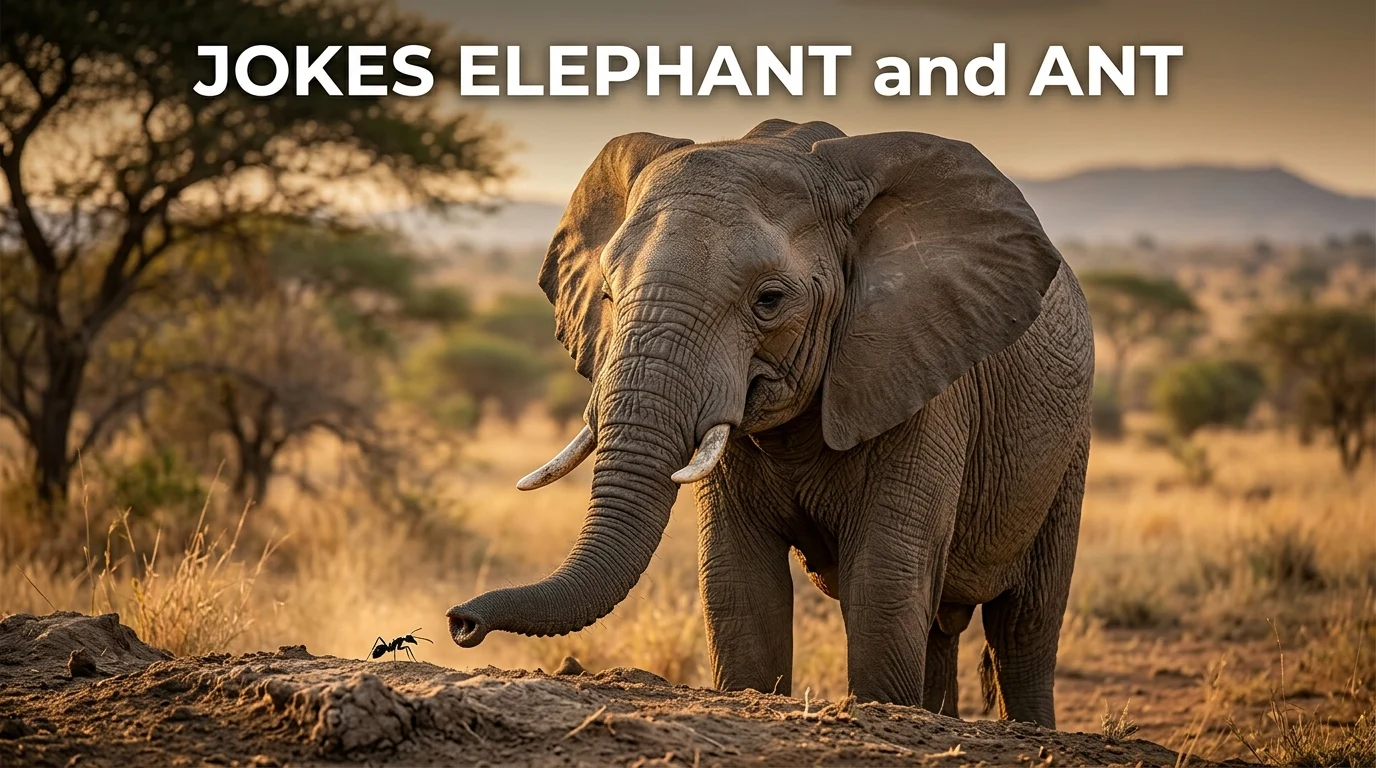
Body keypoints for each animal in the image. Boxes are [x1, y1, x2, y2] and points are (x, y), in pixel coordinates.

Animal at [446, 119, 1094, 727]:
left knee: (1025, 624)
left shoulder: (920, 371)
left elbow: (886, 580)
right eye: (606, 295)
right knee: (944, 624)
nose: (460, 621)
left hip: (1069, 447)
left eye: (770, 300)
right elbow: (738, 581)